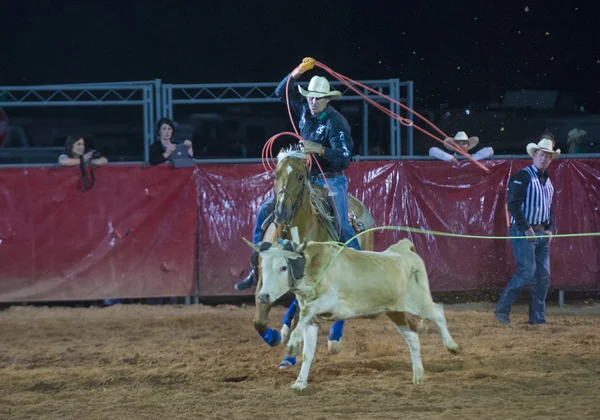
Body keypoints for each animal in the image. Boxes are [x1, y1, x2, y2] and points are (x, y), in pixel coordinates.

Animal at [253, 147, 422, 358]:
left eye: (300, 176)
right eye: (275, 175)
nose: (281, 211)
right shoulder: (264, 279)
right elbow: (259, 321)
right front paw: (275, 336)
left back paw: (334, 339)